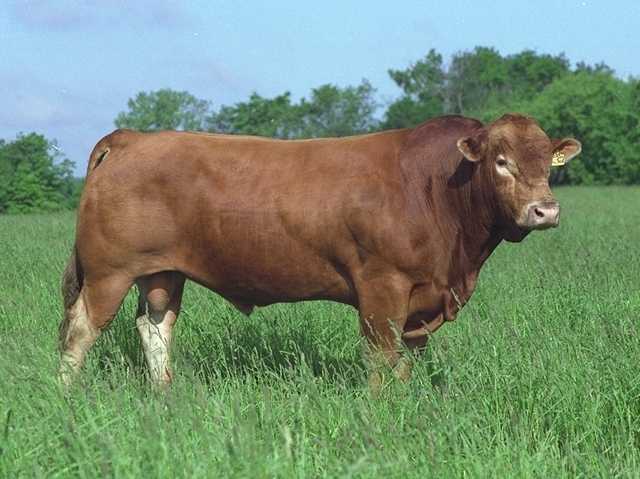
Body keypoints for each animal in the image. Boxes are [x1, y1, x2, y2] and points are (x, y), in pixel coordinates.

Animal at [58, 114, 581, 391]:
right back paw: (68, 397)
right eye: (501, 161)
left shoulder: (423, 299)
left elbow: (407, 360)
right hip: (109, 271)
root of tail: (134, 137)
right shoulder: (383, 287)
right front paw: (381, 412)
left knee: (154, 326)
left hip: (162, 271)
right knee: (79, 331)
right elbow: (381, 357)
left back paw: (165, 394)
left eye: (547, 162)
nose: (545, 210)